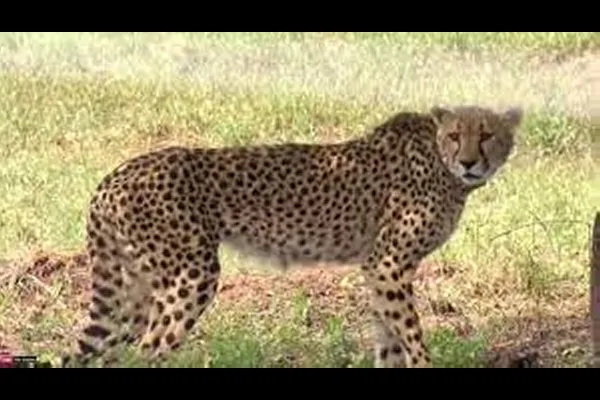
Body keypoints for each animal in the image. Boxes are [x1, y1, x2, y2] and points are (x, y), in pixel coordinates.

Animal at [60, 104, 523, 368]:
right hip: (190, 277)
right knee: (149, 351)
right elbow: (411, 336)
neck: (443, 166)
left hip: (136, 291)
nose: (470, 162)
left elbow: (390, 340)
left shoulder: (379, 271)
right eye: (455, 135)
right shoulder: (388, 265)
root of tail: (115, 175)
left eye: (487, 134)